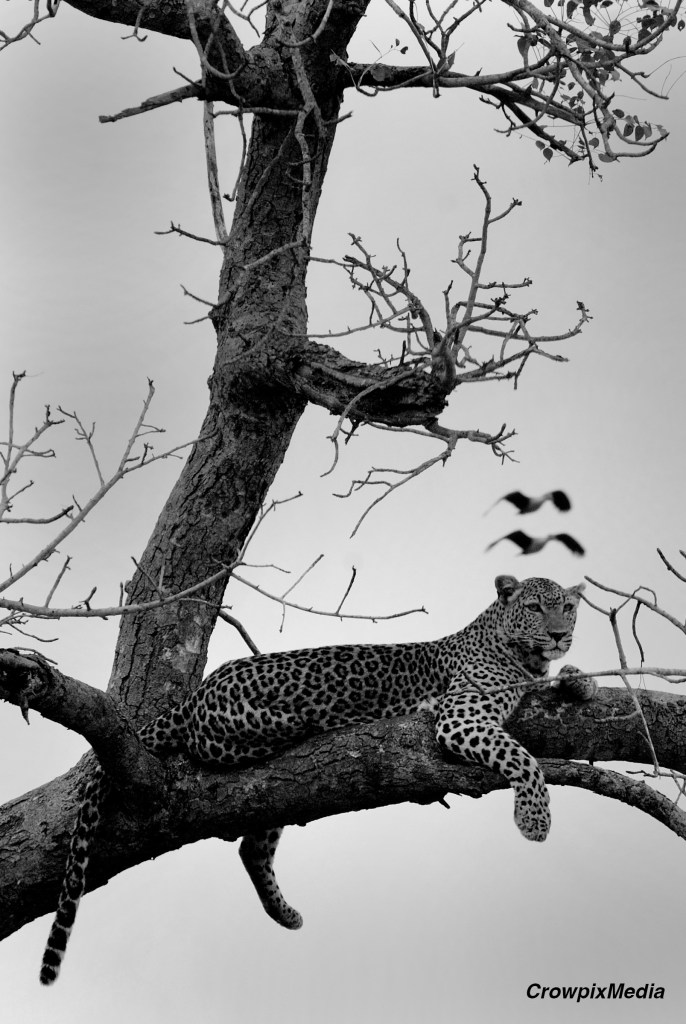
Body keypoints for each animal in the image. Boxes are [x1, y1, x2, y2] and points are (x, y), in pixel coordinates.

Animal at [39, 574, 596, 984]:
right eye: (535, 607)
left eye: (568, 609)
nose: (559, 635)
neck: (519, 655)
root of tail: (194, 694)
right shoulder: (463, 716)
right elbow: (524, 758)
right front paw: (534, 820)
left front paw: (578, 681)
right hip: (255, 725)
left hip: (276, 797)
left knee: (252, 847)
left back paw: (284, 913)